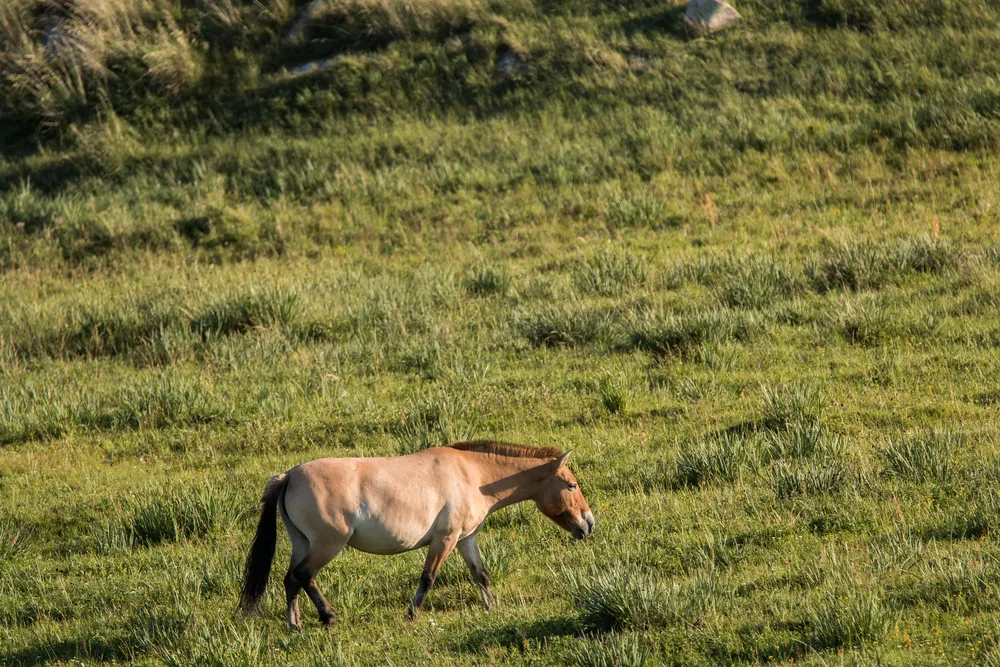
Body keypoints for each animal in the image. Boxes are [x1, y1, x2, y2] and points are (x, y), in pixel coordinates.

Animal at [238, 440, 595, 631]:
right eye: (571, 485)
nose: (589, 524)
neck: (473, 475)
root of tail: (289, 476)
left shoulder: (465, 540)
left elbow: (481, 575)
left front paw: (491, 608)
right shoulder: (445, 539)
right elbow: (428, 577)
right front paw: (411, 614)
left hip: (303, 543)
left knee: (290, 580)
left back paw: (295, 624)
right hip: (327, 545)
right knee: (304, 575)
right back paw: (328, 617)